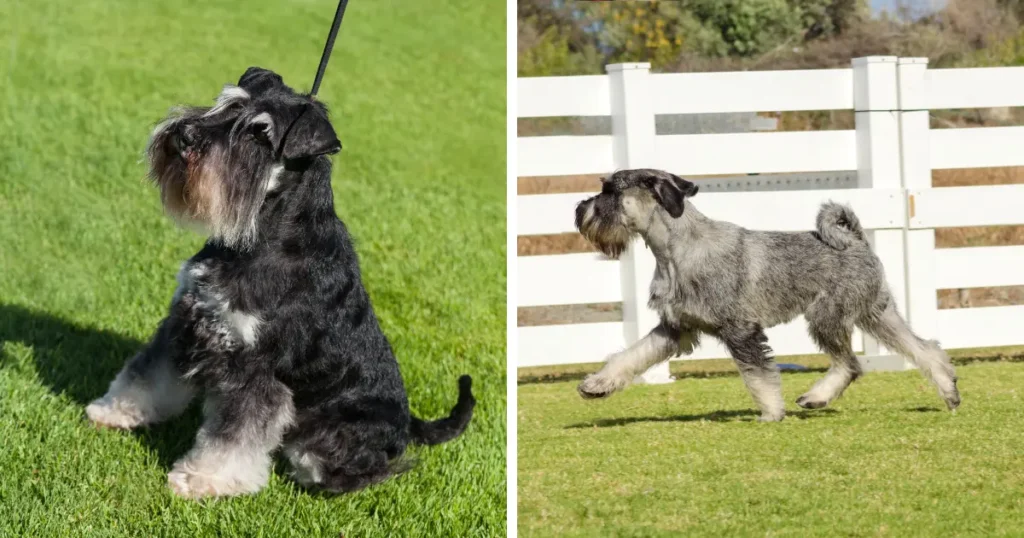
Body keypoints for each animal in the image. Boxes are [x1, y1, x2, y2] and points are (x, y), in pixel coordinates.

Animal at [84, 68, 475, 500]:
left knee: (367, 470)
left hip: (333, 437)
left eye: (260, 134)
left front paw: (202, 479)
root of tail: (408, 424)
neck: (262, 236)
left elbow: (233, 436)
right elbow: (147, 376)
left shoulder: (257, 369)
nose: (184, 135)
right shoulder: (186, 322)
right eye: (227, 103)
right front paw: (113, 411)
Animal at [577, 168, 958, 420]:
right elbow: (632, 356)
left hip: (827, 317)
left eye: (611, 191)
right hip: (877, 315)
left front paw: (772, 414)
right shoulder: (675, 328)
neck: (675, 251)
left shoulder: (740, 330)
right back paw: (949, 391)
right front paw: (597, 384)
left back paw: (816, 397)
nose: (579, 209)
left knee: (849, 364)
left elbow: (758, 376)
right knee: (923, 349)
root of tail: (856, 240)